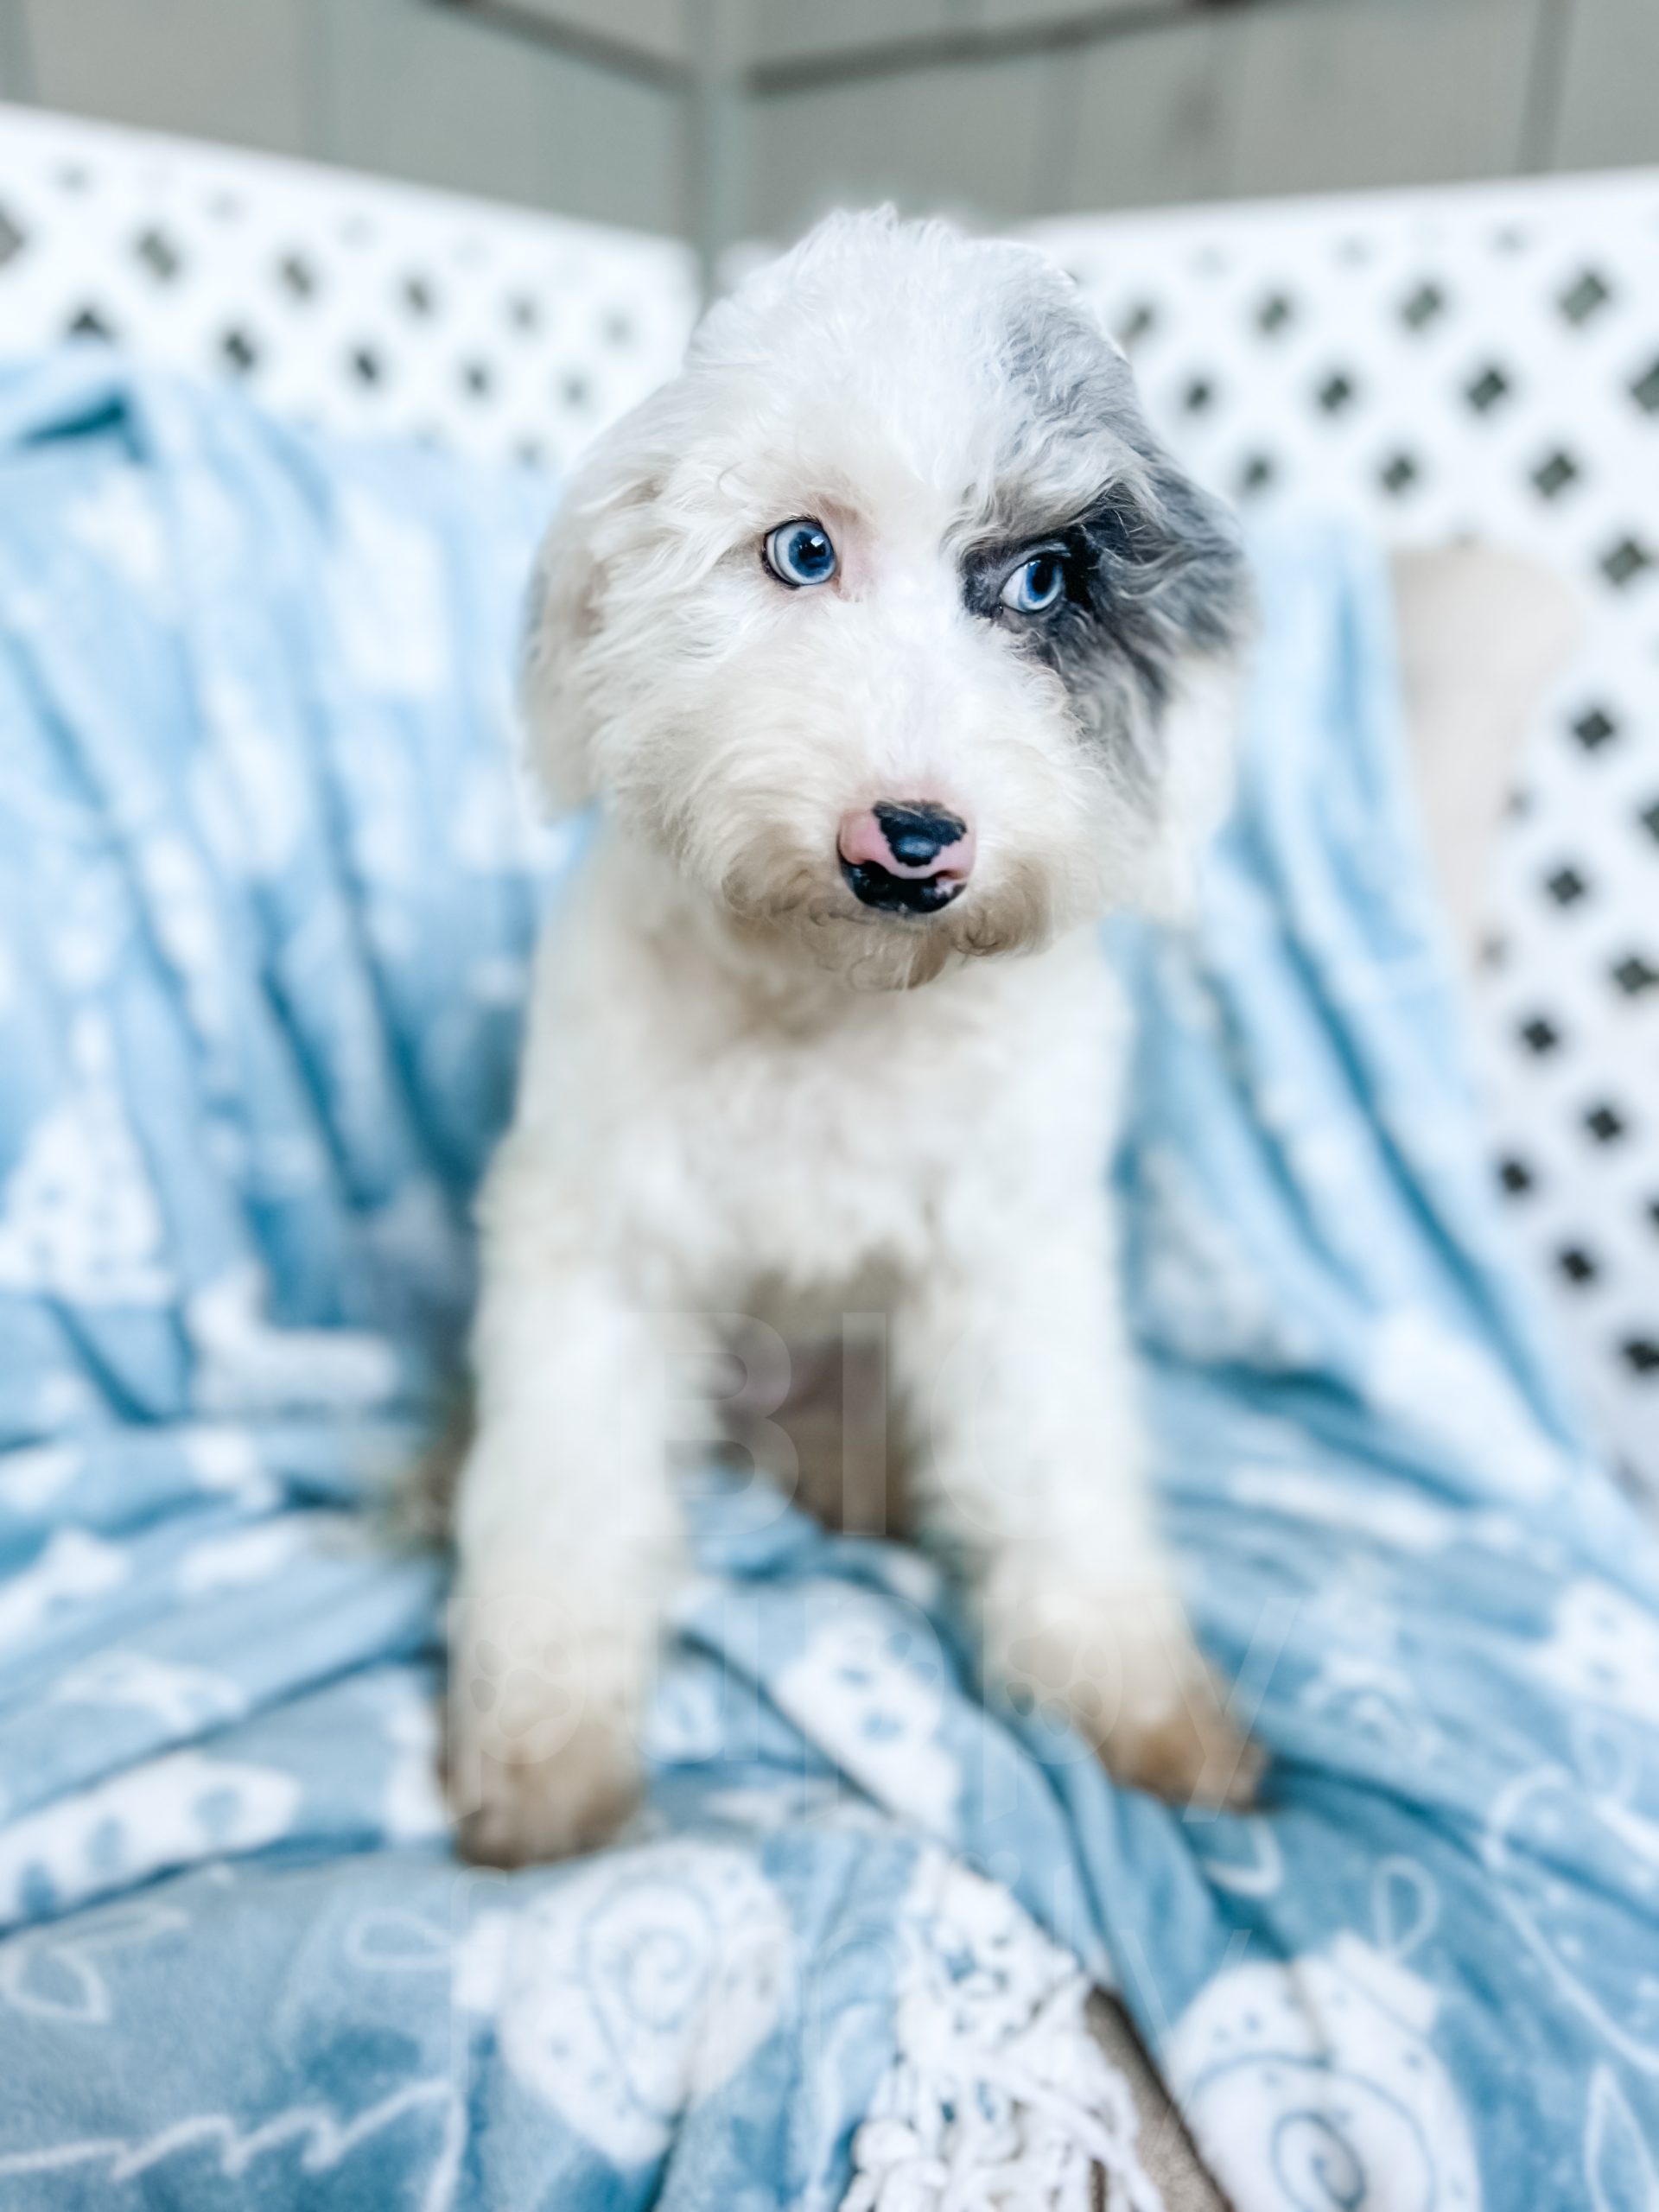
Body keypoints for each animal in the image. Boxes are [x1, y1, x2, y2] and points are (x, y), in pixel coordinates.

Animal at [451, 211, 1256, 1866]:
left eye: (1043, 582)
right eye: (802, 549)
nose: (915, 839)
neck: (836, 1002)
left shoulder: (1018, 1261)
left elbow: (1062, 1478)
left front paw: (1140, 1700)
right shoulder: (592, 1250)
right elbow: (563, 1503)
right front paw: (548, 1755)